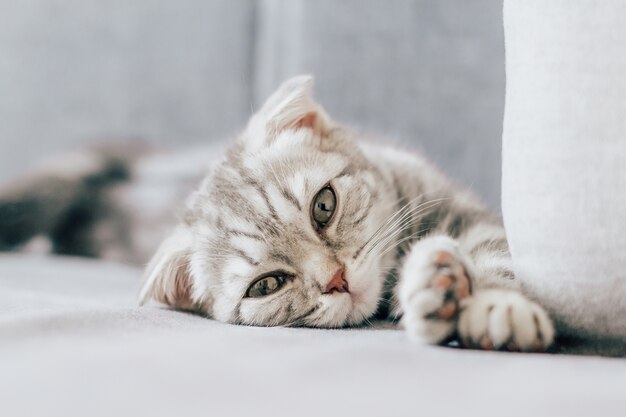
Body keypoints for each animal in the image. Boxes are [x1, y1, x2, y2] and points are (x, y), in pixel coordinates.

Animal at [0, 75, 552, 352]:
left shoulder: (461, 210)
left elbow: (496, 255)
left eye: (324, 205)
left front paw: (495, 305)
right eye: (267, 285)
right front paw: (438, 293)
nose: (336, 280)